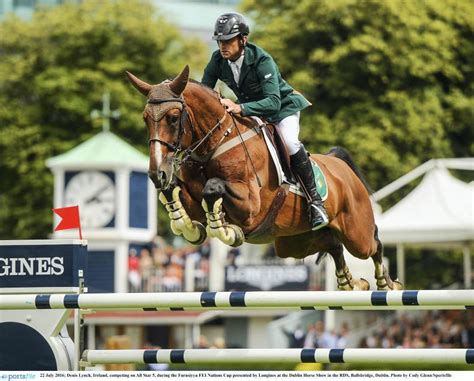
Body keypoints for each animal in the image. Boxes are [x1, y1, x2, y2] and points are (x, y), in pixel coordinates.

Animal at [125, 66, 400, 290]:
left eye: (173, 118)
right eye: (146, 119)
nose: (157, 173)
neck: (215, 144)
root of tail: (340, 165)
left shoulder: (250, 206)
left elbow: (213, 188)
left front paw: (227, 231)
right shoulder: (193, 199)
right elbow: (177, 197)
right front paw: (190, 227)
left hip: (356, 232)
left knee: (374, 244)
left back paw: (386, 284)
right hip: (293, 243)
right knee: (333, 244)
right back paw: (351, 283)